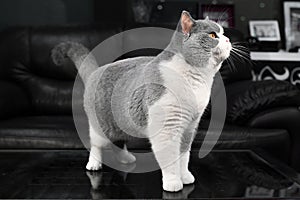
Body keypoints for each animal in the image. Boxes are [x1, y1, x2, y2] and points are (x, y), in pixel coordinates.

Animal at [52, 10, 232, 192]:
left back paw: (126, 159)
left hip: (122, 125)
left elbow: (183, 157)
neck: (196, 81)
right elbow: (170, 159)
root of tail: (96, 72)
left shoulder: (189, 127)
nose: (227, 39)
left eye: (223, 33)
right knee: (96, 144)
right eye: (212, 35)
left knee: (118, 143)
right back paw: (94, 164)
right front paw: (173, 183)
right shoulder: (167, 128)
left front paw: (186, 177)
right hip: (101, 125)